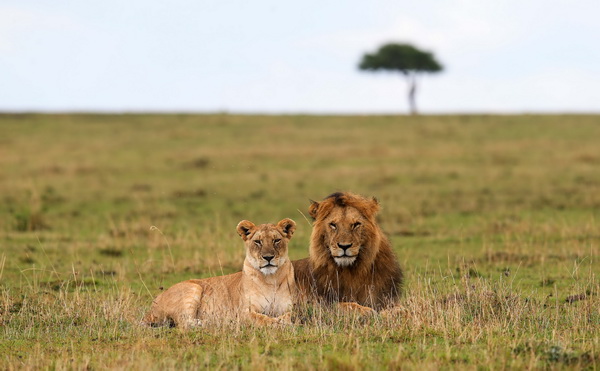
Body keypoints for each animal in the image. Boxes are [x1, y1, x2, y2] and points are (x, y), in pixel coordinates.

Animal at [144, 218, 298, 328]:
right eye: (258, 242)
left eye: (276, 240)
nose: (268, 257)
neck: (270, 279)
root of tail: (152, 305)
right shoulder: (243, 312)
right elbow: (261, 318)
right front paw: (279, 322)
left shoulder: (289, 307)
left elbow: (289, 314)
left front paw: (285, 320)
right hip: (193, 288)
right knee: (184, 322)